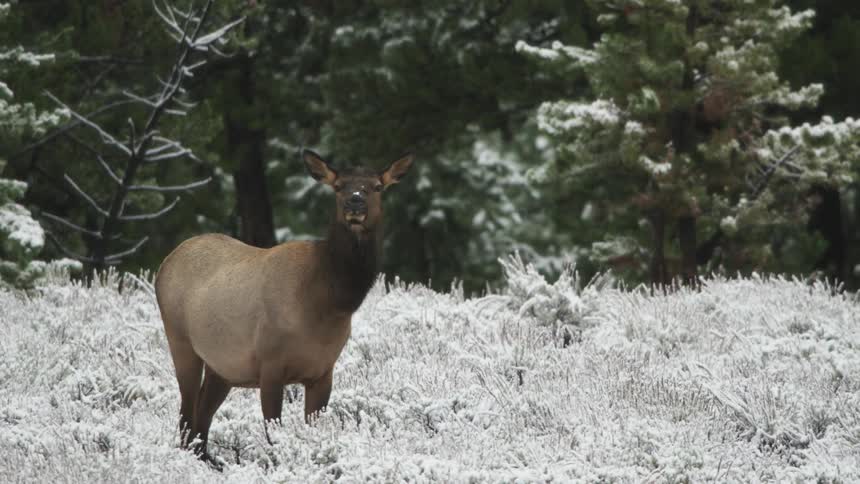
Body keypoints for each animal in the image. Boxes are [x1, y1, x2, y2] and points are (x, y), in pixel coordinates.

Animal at [154, 149, 413, 466]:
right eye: (338, 186)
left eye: (377, 187)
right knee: (186, 413)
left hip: (223, 366)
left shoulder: (323, 370)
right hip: (180, 340)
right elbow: (273, 432)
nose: (355, 202)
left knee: (201, 417)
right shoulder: (270, 363)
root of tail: (165, 263)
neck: (327, 304)